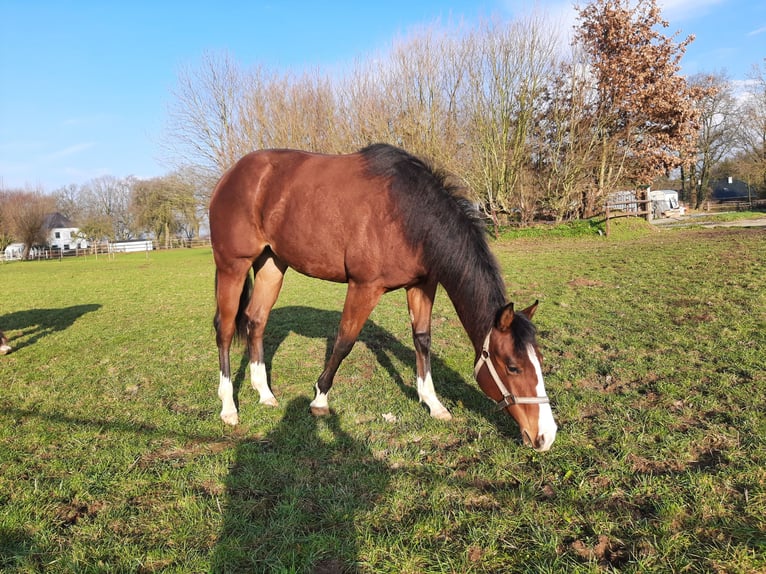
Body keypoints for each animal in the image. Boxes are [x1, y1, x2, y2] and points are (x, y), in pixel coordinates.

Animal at [209, 144, 557, 451]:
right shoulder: (364, 287)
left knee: (256, 321)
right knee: (225, 330)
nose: (546, 436)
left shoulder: (423, 285)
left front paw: (433, 403)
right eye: (512, 367)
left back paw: (265, 393)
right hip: (233, 267)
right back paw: (228, 407)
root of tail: (230, 177)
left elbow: (422, 340)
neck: (407, 213)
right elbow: (344, 341)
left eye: (539, 361)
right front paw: (320, 399)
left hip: (272, 264)